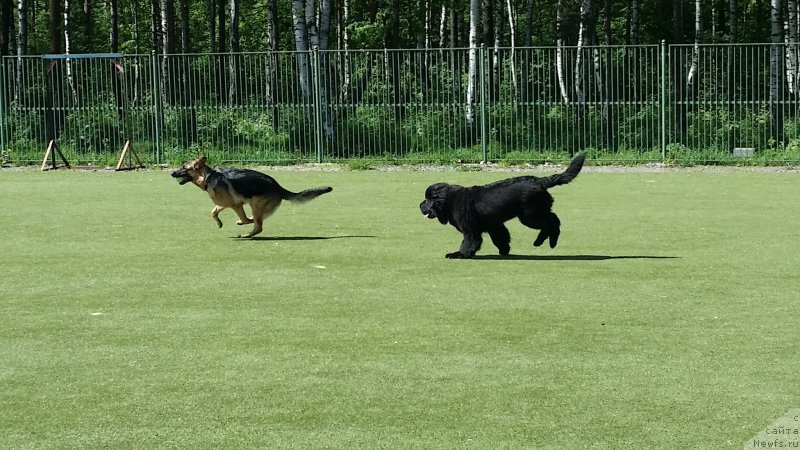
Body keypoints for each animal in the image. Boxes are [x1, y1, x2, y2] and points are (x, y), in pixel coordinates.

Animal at [170, 156, 332, 239]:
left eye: (184, 167)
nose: (171, 173)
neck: (208, 177)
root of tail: (278, 187)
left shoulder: (235, 205)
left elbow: (244, 218)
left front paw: (243, 222)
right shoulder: (225, 203)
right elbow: (214, 211)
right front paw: (219, 223)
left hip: (255, 204)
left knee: (258, 226)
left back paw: (246, 234)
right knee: (258, 222)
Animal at [422, 154, 584, 258]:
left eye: (426, 199)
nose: (419, 205)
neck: (449, 201)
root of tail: (539, 181)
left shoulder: (470, 229)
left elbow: (468, 243)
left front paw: (460, 254)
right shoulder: (494, 225)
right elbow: (501, 237)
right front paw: (505, 250)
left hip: (529, 216)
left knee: (553, 222)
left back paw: (548, 242)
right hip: (535, 212)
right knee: (552, 219)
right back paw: (543, 242)